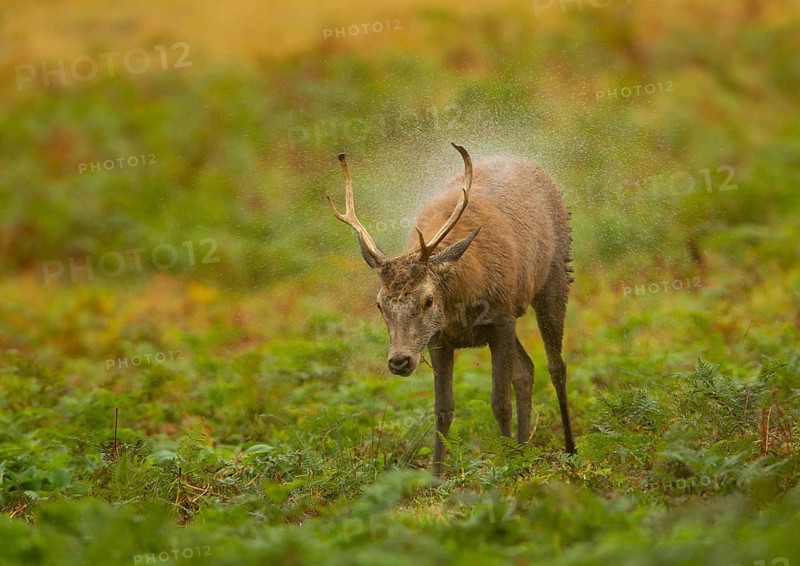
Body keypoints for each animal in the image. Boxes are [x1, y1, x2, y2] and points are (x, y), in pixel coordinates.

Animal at [327, 143, 576, 475]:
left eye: (428, 300)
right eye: (379, 304)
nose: (399, 361)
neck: (461, 299)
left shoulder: (501, 319)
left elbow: (500, 402)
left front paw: (506, 466)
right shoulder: (438, 338)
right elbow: (443, 408)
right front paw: (436, 476)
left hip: (555, 276)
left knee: (555, 366)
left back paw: (570, 448)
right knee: (526, 369)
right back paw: (524, 448)